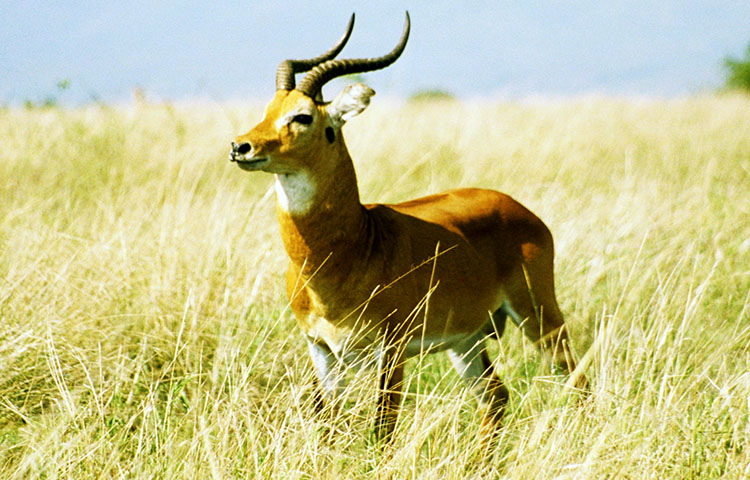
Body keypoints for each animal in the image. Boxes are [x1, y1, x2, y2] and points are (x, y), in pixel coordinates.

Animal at [228, 13, 588, 442]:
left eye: (303, 115)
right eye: (268, 110)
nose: (241, 146)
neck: (349, 249)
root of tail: (521, 209)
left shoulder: (392, 347)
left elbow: (383, 428)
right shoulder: (321, 348)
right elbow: (327, 423)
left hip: (538, 317)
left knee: (576, 380)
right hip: (467, 340)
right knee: (495, 396)